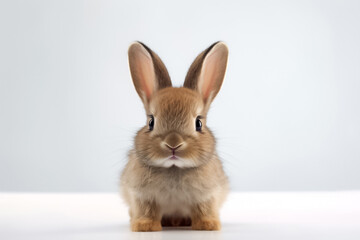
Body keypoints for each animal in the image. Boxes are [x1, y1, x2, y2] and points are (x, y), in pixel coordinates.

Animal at [119, 41, 229, 232]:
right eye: (151, 122)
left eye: (198, 123)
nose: (173, 144)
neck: (174, 168)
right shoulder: (142, 196)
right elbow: (147, 210)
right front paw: (145, 226)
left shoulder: (207, 195)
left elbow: (203, 209)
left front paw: (208, 225)